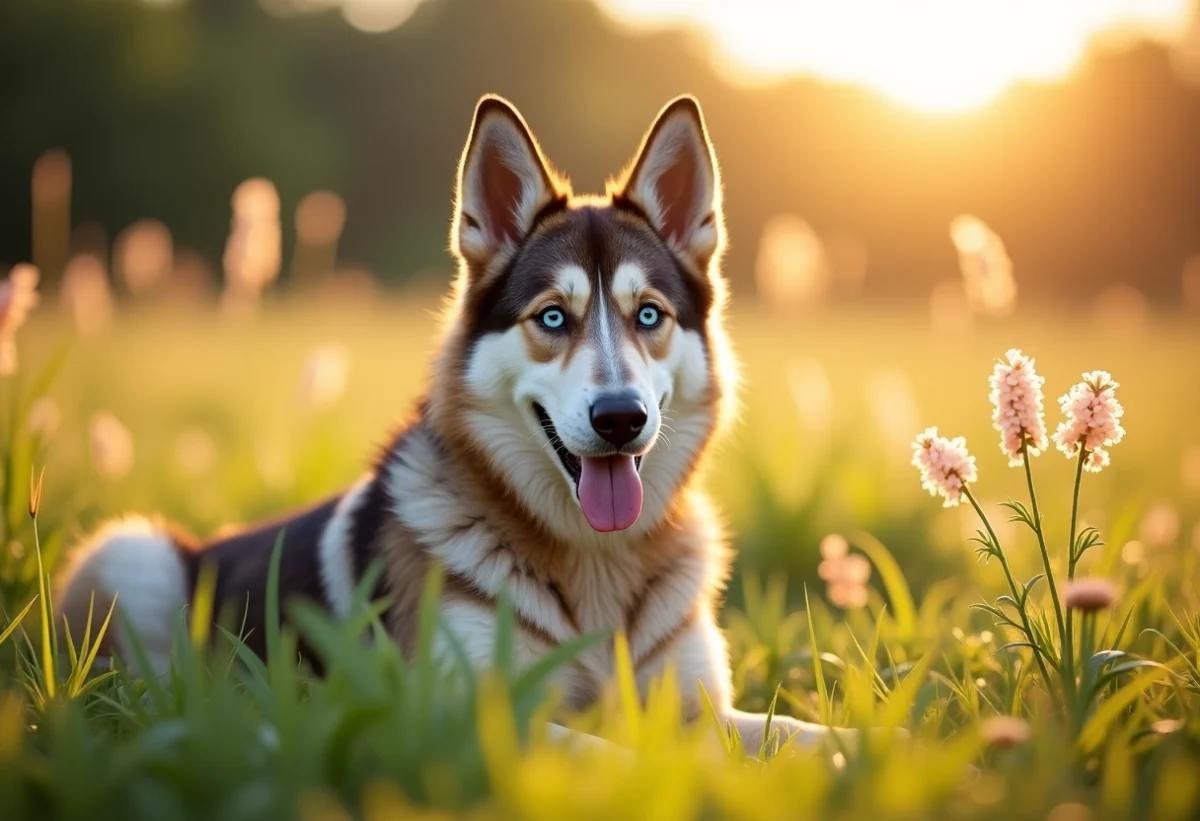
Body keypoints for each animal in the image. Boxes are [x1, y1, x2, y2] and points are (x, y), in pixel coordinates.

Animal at [56, 93, 844, 753]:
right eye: (551, 318)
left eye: (648, 314)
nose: (621, 417)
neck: (594, 561)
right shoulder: (465, 711)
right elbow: (615, 755)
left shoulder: (697, 705)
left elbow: (799, 732)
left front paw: (862, 751)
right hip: (133, 553)